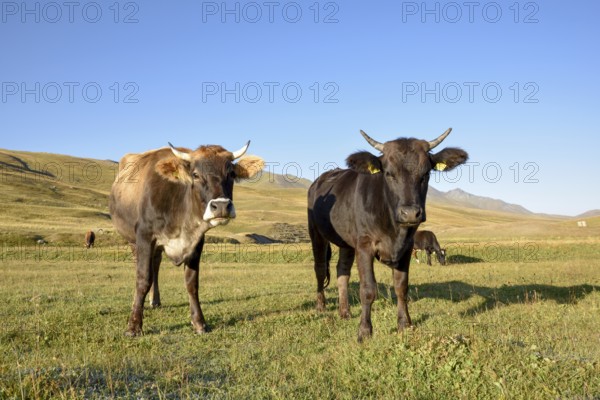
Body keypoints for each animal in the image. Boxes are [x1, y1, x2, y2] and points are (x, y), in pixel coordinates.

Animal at [109, 142, 262, 336]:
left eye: (232, 174)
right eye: (195, 175)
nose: (221, 206)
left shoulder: (197, 242)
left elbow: (192, 282)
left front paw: (199, 322)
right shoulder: (144, 235)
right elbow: (143, 278)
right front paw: (134, 326)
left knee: (156, 265)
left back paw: (155, 300)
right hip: (132, 240)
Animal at [310, 128, 468, 340]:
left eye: (426, 173)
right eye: (388, 173)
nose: (410, 213)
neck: (394, 229)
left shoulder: (406, 248)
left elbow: (401, 287)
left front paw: (405, 324)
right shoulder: (365, 246)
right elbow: (368, 289)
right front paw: (365, 331)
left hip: (347, 243)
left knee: (342, 271)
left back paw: (344, 311)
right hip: (316, 233)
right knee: (320, 269)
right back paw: (321, 306)